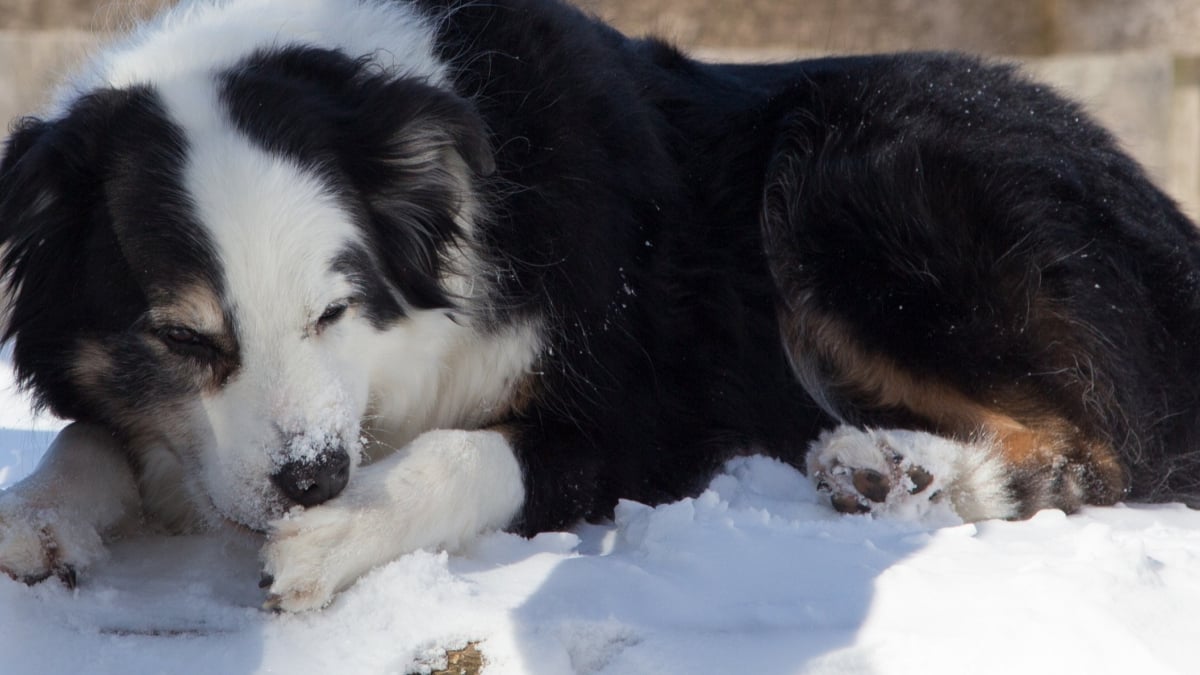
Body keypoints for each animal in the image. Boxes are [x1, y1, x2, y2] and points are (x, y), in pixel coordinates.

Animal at [2, 0, 1200, 610]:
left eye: (333, 313)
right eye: (182, 337)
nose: (313, 477)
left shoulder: (654, 407)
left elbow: (468, 452)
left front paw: (337, 530)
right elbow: (94, 436)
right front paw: (39, 514)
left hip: (848, 169)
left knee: (1108, 446)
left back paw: (908, 469)